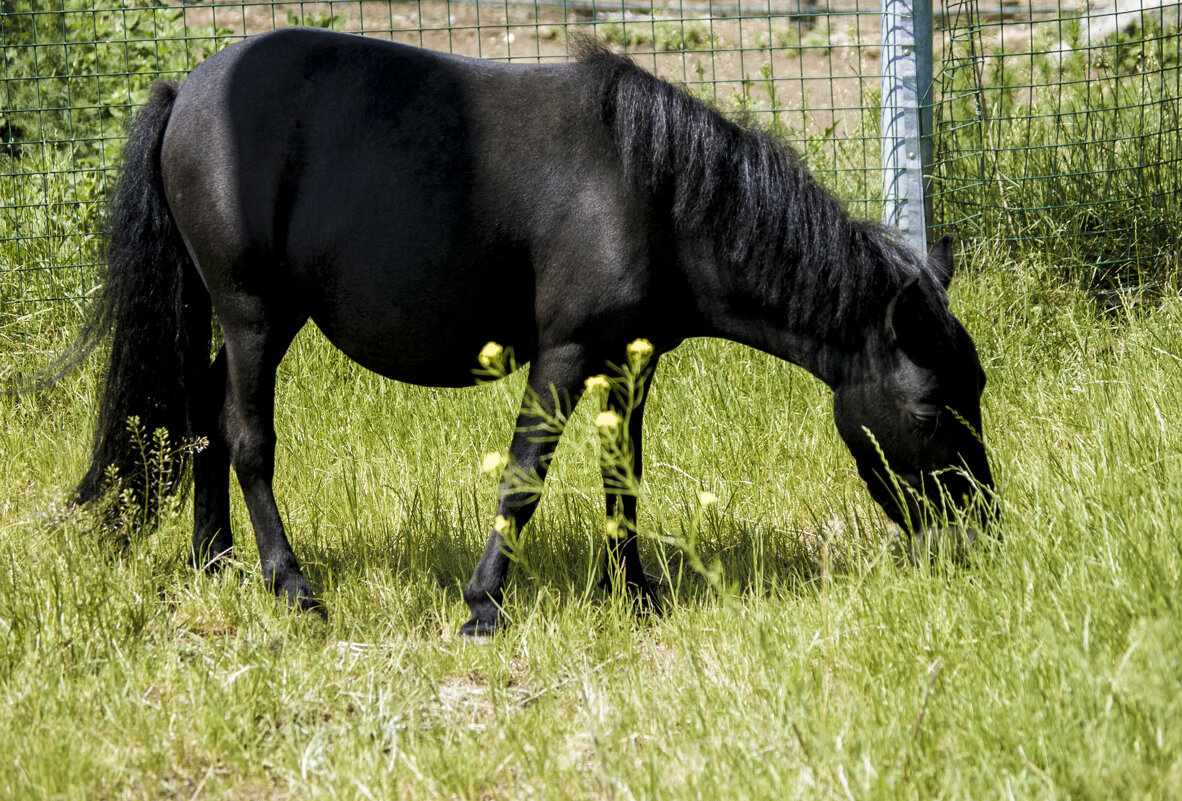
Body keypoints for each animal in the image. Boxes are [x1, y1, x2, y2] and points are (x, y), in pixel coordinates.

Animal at [65, 27, 995, 637]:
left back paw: (214, 559)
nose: (979, 535)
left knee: (206, 418)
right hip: (253, 310)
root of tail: (184, 92)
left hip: (258, 316)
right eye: (928, 409)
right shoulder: (565, 355)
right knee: (248, 435)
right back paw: (290, 584)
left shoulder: (628, 364)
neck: (652, 193)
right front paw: (483, 605)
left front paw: (635, 593)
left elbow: (622, 478)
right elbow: (523, 477)